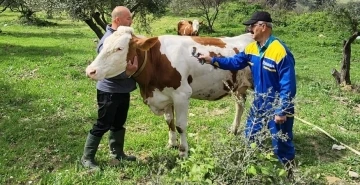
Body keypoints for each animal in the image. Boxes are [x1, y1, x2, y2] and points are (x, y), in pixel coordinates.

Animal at [85, 26, 253, 158]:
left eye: (119, 48)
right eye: (104, 45)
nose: (90, 71)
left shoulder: (182, 95)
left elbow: (180, 125)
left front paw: (183, 152)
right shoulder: (165, 96)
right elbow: (169, 121)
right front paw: (171, 143)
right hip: (239, 87)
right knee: (240, 105)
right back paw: (234, 129)